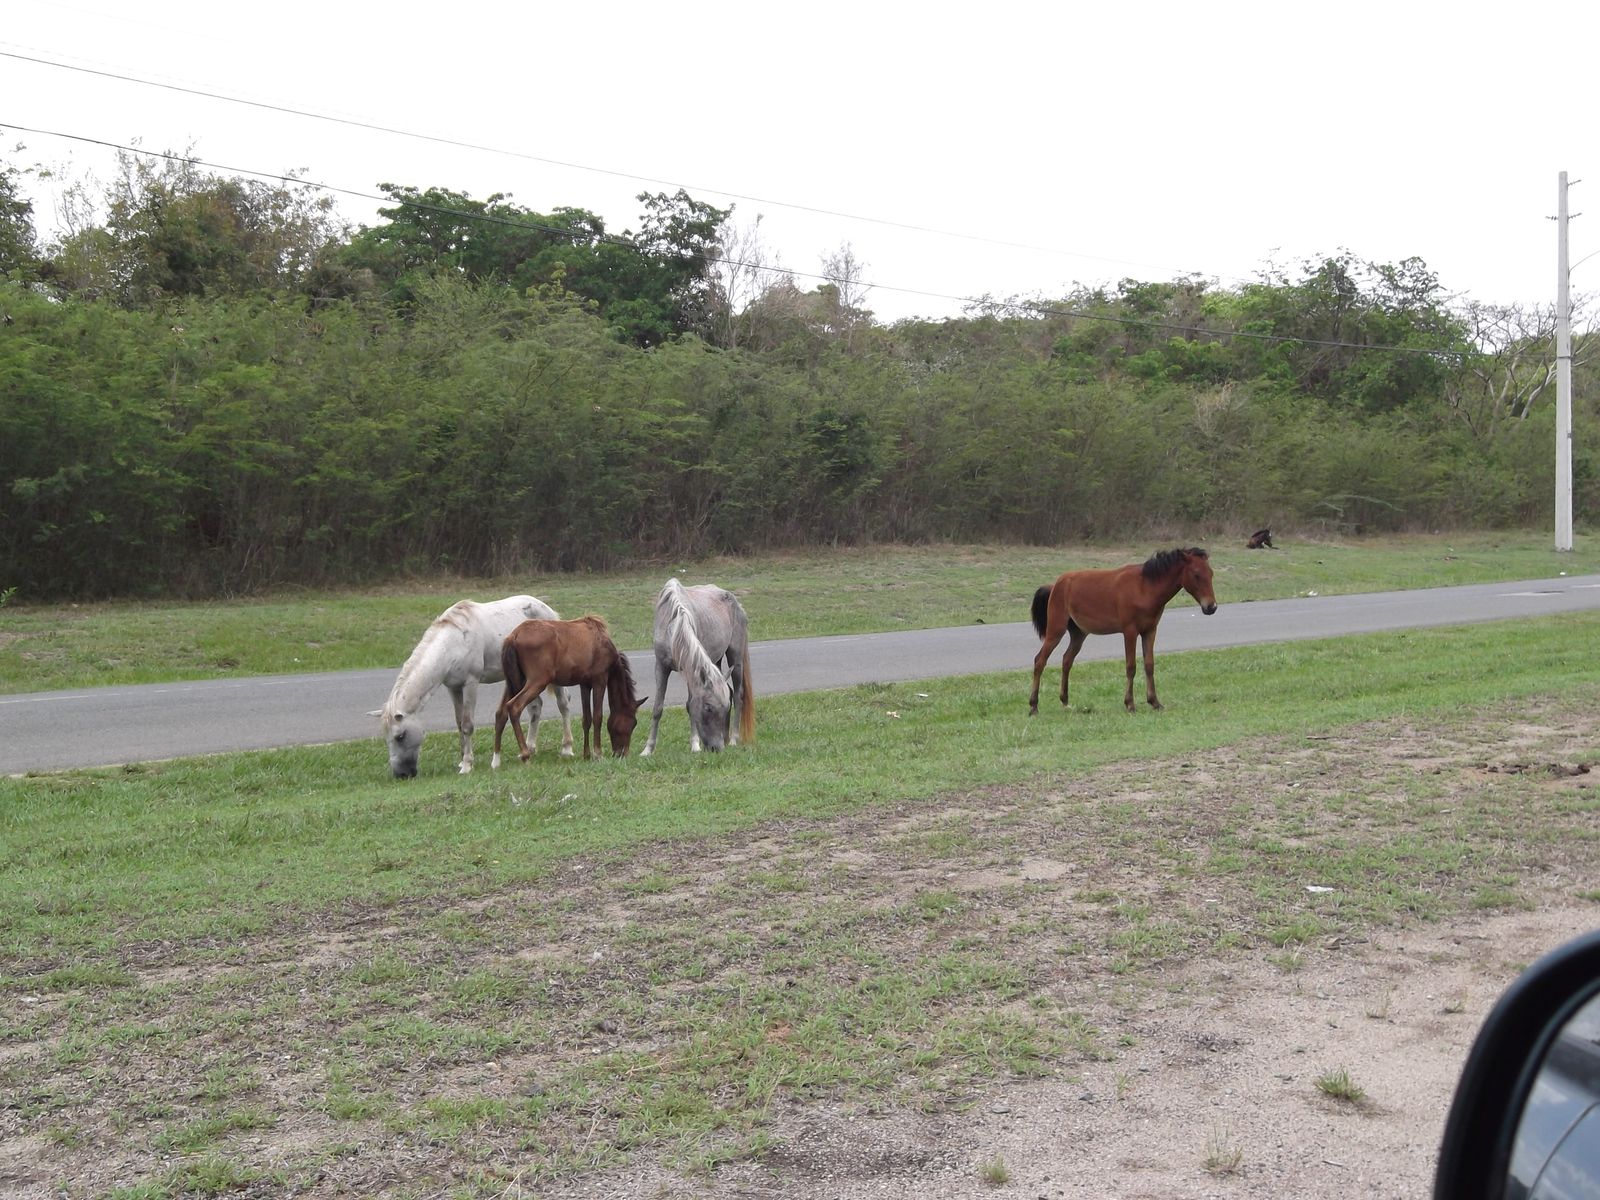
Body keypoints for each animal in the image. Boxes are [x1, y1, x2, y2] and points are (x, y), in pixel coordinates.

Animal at [373, 595, 574, 779]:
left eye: (400, 736)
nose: (401, 774)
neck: (453, 643)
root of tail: (547, 610)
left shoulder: (471, 683)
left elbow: (468, 724)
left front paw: (467, 765)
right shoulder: (453, 688)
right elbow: (459, 722)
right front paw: (463, 759)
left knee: (563, 704)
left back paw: (566, 748)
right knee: (535, 707)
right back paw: (530, 748)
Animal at [492, 616, 647, 764]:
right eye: (633, 722)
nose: (622, 753)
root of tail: (513, 637)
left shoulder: (585, 684)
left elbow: (586, 718)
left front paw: (586, 754)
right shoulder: (600, 679)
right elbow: (598, 717)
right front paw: (598, 754)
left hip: (514, 680)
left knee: (501, 713)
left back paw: (496, 760)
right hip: (537, 680)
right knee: (514, 707)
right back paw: (524, 754)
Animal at [639, 579, 755, 756]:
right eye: (708, 708)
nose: (716, 748)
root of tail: (736, 602)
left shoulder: (691, 671)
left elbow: (690, 705)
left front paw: (695, 745)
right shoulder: (661, 666)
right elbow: (657, 708)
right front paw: (648, 749)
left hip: (735, 657)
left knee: (738, 695)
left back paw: (733, 739)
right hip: (715, 662)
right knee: (730, 691)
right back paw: (727, 738)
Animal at [1028, 547, 1218, 715]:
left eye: (1211, 574)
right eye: (1196, 574)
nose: (1211, 607)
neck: (1144, 588)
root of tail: (1055, 585)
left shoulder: (1150, 631)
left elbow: (1149, 665)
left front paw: (1154, 702)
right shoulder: (1130, 631)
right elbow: (1131, 666)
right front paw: (1130, 704)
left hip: (1079, 633)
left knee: (1067, 660)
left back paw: (1065, 701)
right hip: (1056, 630)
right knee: (1040, 660)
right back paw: (1033, 706)